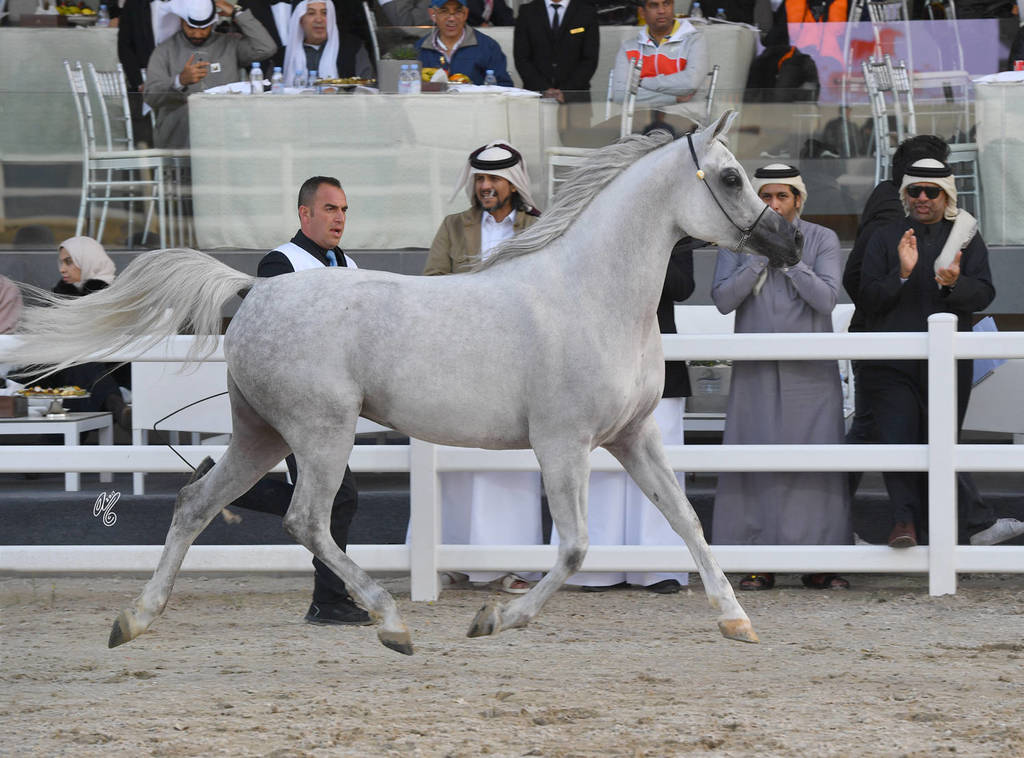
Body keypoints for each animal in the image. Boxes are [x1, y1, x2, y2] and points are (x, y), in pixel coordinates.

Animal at [4, 111, 799, 656]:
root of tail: (254, 289)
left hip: (261, 436)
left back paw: (135, 619)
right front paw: (494, 618)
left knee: (198, 500)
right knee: (305, 520)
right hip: (321, 434)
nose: (787, 241)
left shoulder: (632, 437)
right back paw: (390, 622)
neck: (591, 295)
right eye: (731, 177)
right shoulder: (562, 444)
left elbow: (687, 520)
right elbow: (575, 546)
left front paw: (736, 619)